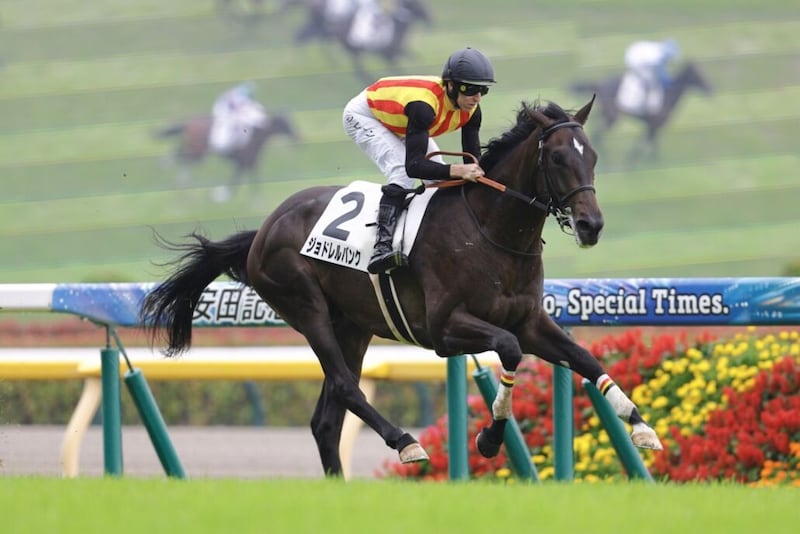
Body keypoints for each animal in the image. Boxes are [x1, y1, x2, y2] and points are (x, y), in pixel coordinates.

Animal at [155, 113, 299, 201]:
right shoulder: (243, 162)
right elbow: (237, 179)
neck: (254, 135)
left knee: (179, 155)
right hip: (197, 153)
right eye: (286, 124)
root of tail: (188, 124)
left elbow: (249, 179)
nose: (298, 138)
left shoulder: (249, 162)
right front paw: (222, 195)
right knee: (182, 160)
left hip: (193, 149)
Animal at [571, 61, 712, 164]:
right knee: (599, 135)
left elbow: (651, 145)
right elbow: (643, 145)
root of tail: (600, 84)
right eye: (698, 73)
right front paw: (631, 161)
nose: (711, 88)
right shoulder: (653, 125)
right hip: (612, 117)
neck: (667, 96)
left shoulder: (653, 127)